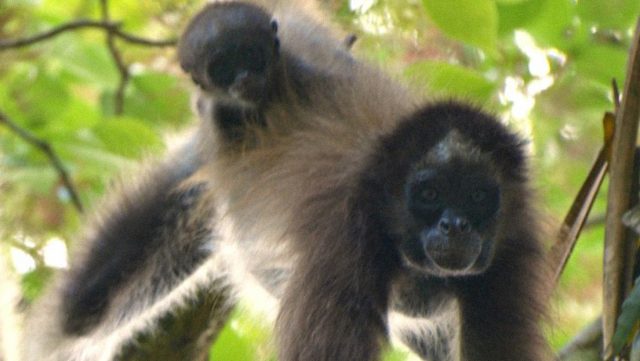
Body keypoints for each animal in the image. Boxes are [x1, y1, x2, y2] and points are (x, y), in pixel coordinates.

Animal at [22, 0, 552, 360]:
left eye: (478, 197)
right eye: (429, 194)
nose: (454, 225)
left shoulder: (513, 242)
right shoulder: (343, 238)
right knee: (81, 309)